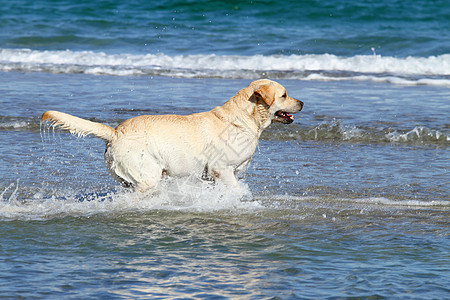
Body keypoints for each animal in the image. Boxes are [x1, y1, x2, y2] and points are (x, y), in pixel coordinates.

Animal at [41, 78, 302, 193]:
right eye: (284, 95)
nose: (302, 102)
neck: (243, 121)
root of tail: (115, 132)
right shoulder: (222, 169)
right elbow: (237, 191)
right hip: (147, 174)